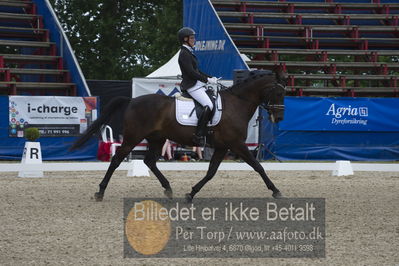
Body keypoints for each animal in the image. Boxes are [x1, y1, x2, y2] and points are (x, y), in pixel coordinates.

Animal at [70, 70, 286, 202]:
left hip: (157, 138)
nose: (279, 118)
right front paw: (276, 190)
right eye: (277, 93)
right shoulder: (237, 144)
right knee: (116, 159)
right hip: (133, 137)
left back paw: (168, 188)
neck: (237, 103)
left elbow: (211, 172)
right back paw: (100, 191)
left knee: (149, 161)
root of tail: (132, 101)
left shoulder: (223, 146)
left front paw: (191, 193)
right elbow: (258, 166)